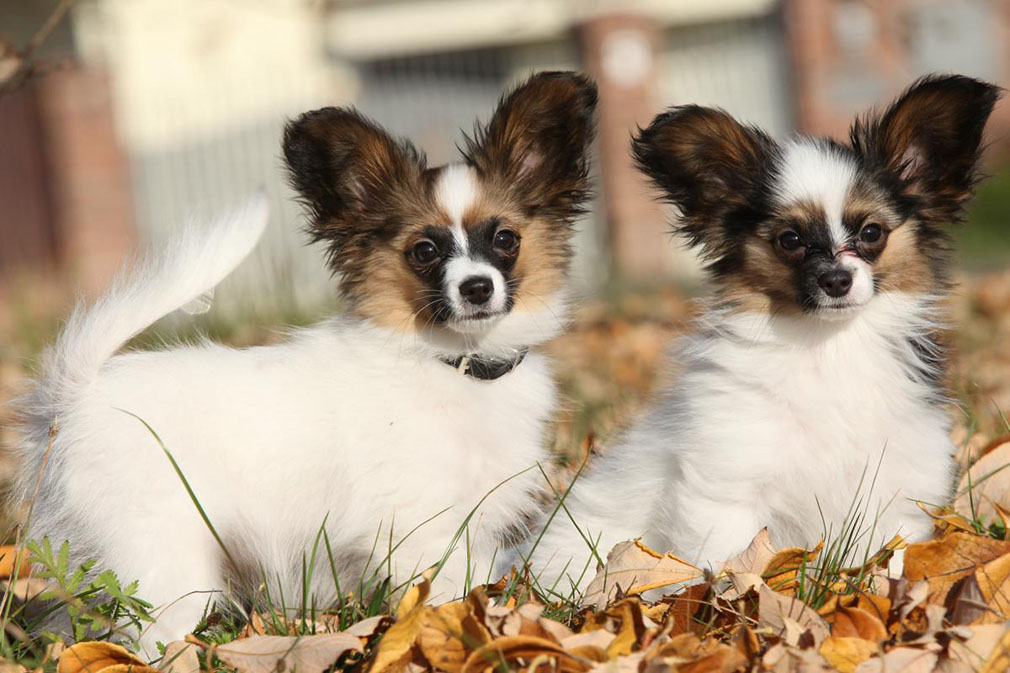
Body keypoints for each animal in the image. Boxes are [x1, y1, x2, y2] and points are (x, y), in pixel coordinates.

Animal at [11, 70, 593, 646]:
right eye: (425, 251)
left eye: (505, 239)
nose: (476, 288)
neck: (454, 365)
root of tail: (74, 395)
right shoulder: (421, 528)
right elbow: (448, 595)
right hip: (164, 561)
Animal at [529, 72, 1001, 586]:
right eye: (790, 240)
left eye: (872, 232)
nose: (837, 280)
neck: (826, 347)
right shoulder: (729, 485)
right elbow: (728, 564)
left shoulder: (896, 492)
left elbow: (891, 561)